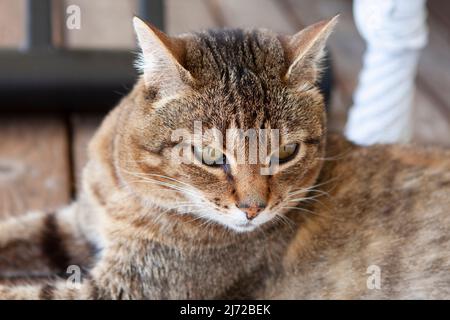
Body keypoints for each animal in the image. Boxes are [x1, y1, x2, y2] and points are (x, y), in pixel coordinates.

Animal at [0, 16, 450, 298]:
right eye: (210, 155)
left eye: (286, 152)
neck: (129, 194)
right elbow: (17, 233)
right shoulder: (76, 224)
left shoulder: (129, 288)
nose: (253, 209)